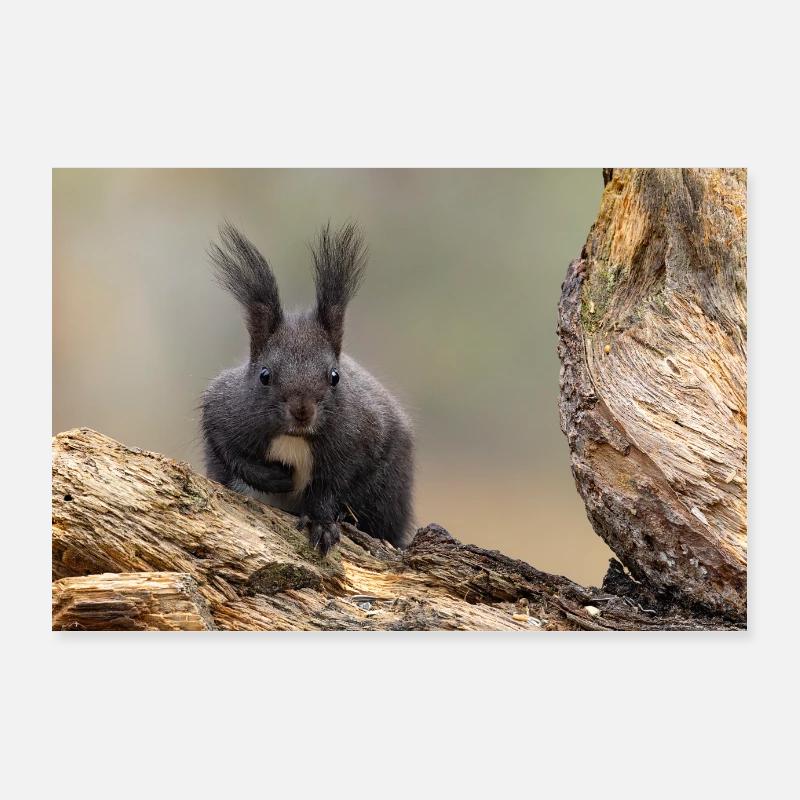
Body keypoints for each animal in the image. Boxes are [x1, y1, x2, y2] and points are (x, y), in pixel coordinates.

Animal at [201, 222, 415, 555]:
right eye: (264, 375)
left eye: (334, 376)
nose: (302, 411)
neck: (294, 437)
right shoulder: (222, 410)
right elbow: (227, 450)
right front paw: (276, 478)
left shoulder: (362, 439)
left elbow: (333, 485)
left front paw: (322, 524)